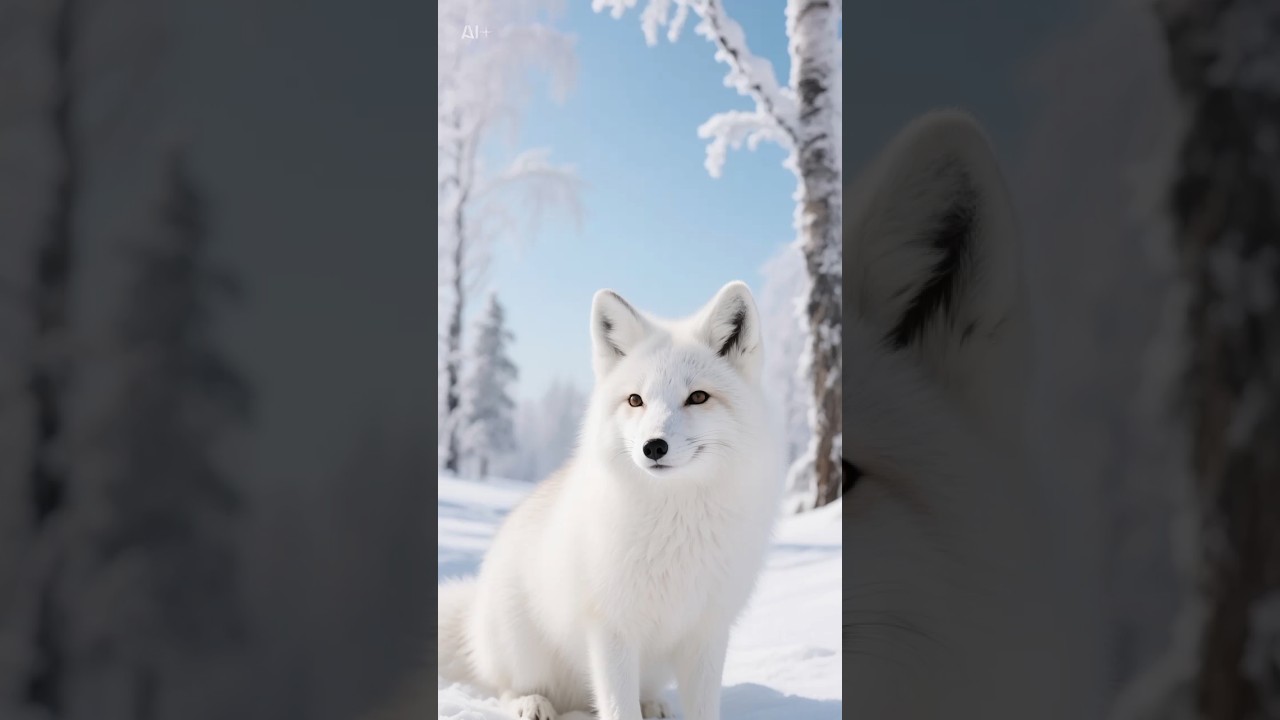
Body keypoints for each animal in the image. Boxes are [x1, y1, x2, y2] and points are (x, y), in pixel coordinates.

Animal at [432, 281, 784, 720]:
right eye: (635, 400)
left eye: (698, 397)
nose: (654, 447)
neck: (677, 521)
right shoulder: (610, 629)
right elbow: (618, 709)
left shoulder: (707, 632)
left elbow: (702, 709)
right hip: (522, 647)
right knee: (507, 687)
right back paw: (532, 703)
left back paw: (653, 705)